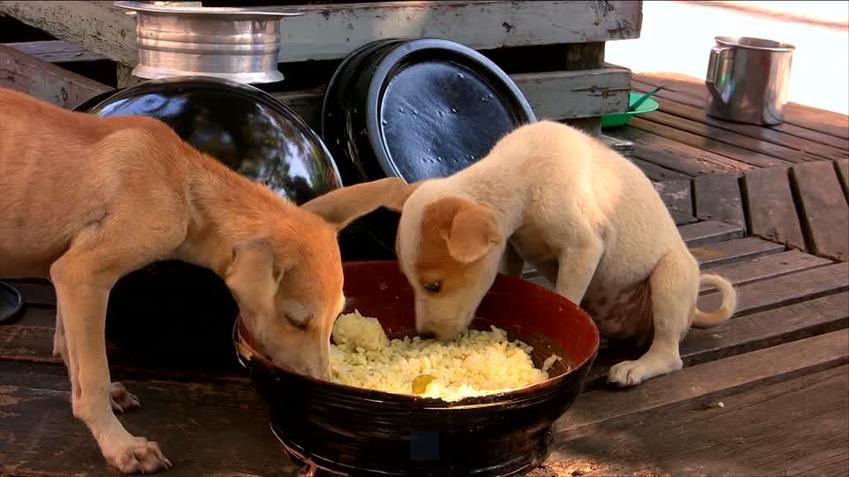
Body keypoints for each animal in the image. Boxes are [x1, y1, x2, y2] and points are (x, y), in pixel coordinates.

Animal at [0, 88, 398, 472]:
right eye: (296, 320)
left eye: (336, 317)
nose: (322, 383)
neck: (184, 184)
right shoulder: (81, 274)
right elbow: (92, 377)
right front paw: (121, 445)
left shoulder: (63, 271)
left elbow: (68, 348)